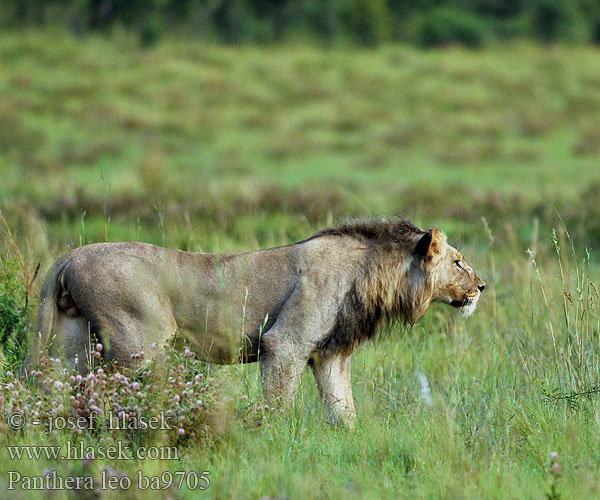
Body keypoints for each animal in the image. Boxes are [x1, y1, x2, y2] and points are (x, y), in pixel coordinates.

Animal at [29, 217, 488, 424]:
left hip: (71, 344)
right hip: (140, 346)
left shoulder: (330, 355)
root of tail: (69, 257)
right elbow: (279, 403)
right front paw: (275, 442)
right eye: (458, 262)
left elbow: (343, 409)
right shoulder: (284, 343)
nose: (482, 286)